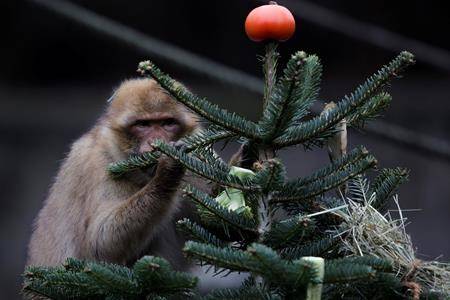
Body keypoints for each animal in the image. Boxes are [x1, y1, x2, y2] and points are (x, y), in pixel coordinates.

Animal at [25, 78, 199, 270]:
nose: (156, 143)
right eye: (142, 125)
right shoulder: (100, 164)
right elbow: (100, 245)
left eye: (168, 123)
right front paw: (168, 173)